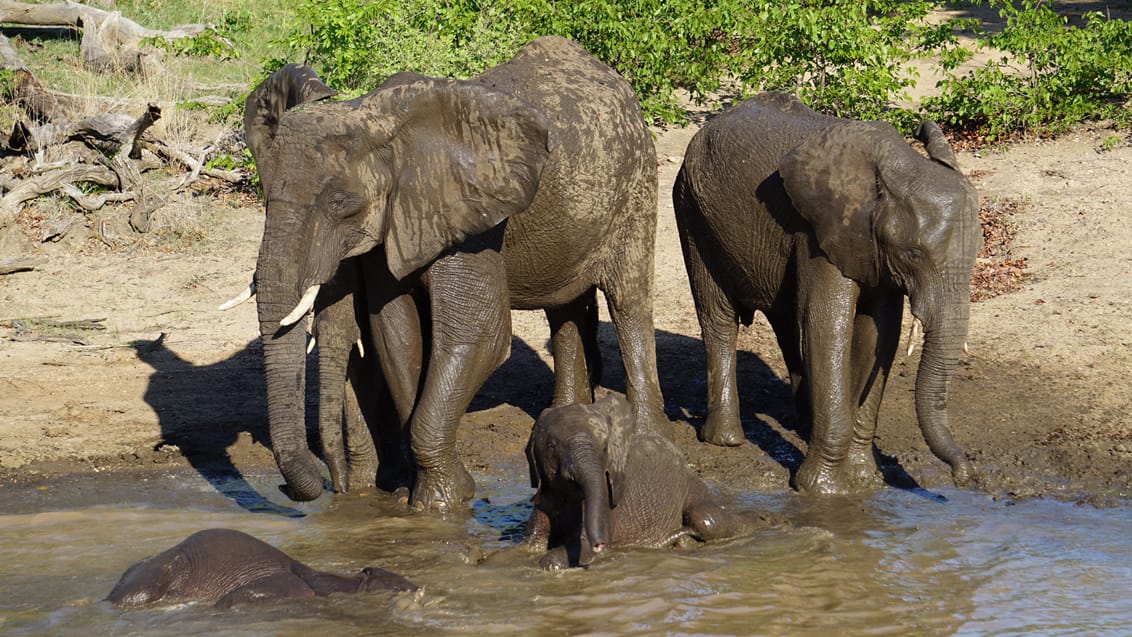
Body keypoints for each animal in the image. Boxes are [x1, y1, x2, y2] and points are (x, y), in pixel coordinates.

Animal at [232, 36, 670, 513]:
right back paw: (565, 418)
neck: (376, 120)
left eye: (339, 204)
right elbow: (397, 334)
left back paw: (649, 440)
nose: (312, 485)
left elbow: (480, 335)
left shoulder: (469, 217)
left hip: (637, 186)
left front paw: (441, 503)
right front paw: (422, 497)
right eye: (266, 198)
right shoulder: (398, 222)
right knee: (565, 307)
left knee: (629, 302)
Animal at [520, 393, 778, 567]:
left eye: (604, 449)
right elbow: (529, 545)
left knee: (707, 519)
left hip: (692, 487)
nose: (601, 544)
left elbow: (569, 552)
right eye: (551, 446)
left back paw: (768, 519)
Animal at [670, 92, 982, 495]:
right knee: (719, 318)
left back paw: (803, 424)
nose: (965, 475)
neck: (892, 173)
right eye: (914, 254)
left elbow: (878, 336)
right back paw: (726, 440)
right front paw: (822, 491)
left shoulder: (869, 248)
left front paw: (865, 481)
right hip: (692, 211)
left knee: (788, 324)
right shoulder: (819, 233)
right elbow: (827, 330)